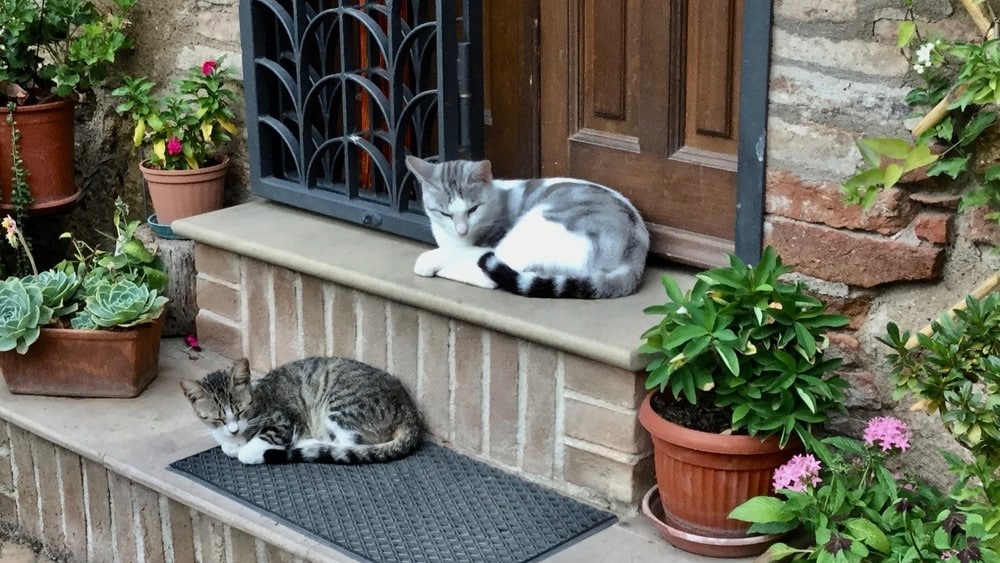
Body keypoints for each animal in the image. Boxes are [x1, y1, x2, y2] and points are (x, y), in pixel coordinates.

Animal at [180, 360, 422, 464]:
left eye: (241, 410)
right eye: (217, 418)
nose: (233, 429)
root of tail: (408, 407)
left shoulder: (282, 421)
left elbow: (245, 451)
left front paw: (250, 451)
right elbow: (227, 447)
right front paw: (230, 443)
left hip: (340, 405)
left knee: (349, 444)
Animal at [404, 156, 648, 300]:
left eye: (473, 209)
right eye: (444, 213)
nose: (461, 229)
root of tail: (631, 257)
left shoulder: (486, 244)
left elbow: (458, 251)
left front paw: (432, 259)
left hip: (534, 227)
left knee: (490, 277)